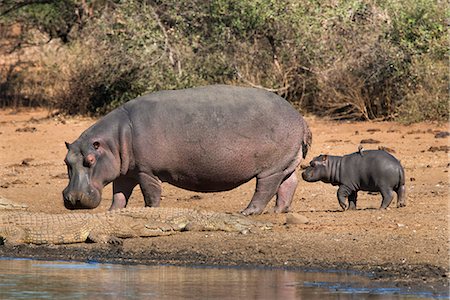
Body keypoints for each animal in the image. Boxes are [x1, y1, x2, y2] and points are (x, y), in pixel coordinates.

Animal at [62, 85, 312, 214]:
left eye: (90, 160)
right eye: (67, 161)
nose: (72, 198)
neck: (113, 141)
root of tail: (301, 119)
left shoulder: (146, 171)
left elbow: (150, 193)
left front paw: (150, 210)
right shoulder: (126, 171)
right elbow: (119, 193)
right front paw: (113, 212)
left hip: (270, 168)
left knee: (265, 189)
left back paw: (247, 212)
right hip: (288, 163)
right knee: (289, 184)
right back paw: (279, 211)